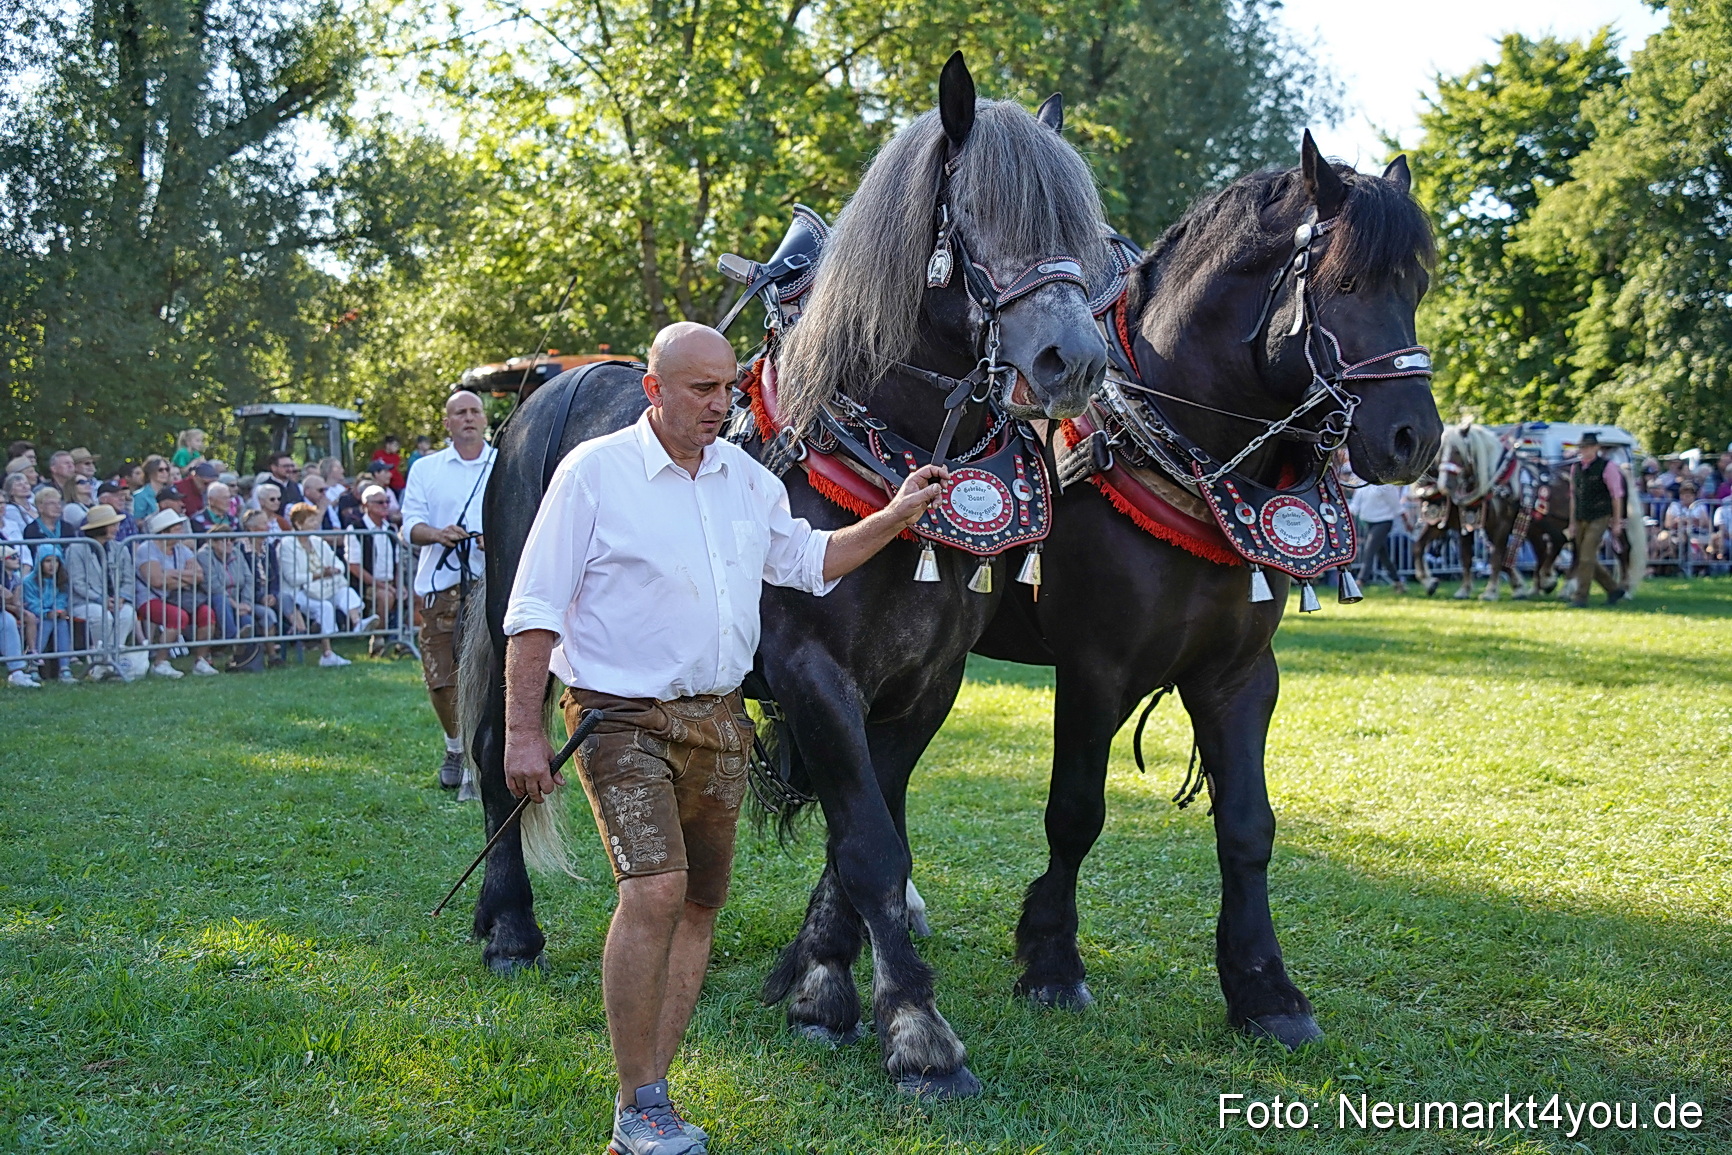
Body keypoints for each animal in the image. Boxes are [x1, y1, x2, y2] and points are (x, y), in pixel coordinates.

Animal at [459, 53, 1115, 1097]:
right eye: (976, 212)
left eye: (1078, 227)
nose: (1073, 360)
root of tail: (548, 387)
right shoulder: (814, 674)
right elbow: (871, 845)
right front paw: (919, 1034)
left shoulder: (924, 683)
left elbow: (869, 837)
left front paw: (821, 986)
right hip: (513, 617)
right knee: (497, 756)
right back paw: (511, 925)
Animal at [964, 135, 1443, 1048]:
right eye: (1346, 284)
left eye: (1417, 287)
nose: (1415, 436)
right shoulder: (1093, 668)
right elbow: (1075, 811)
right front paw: (1051, 960)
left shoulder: (1238, 673)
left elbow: (1249, 825)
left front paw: (1264, 986)